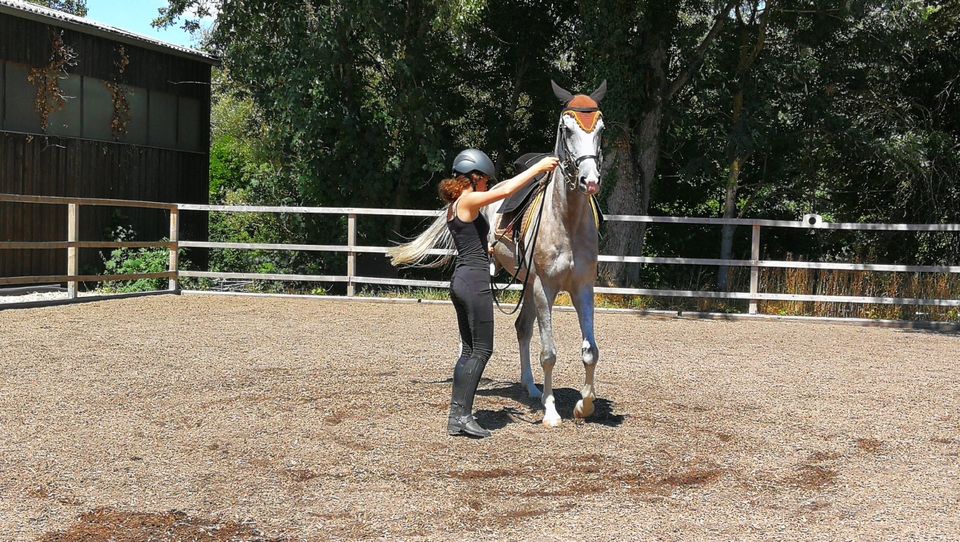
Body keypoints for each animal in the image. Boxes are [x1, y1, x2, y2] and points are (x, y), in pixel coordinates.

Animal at [488, 81, 608, 430]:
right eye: (566, 129)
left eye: (601, 129)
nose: (590, 180)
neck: (566, 221)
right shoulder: (545, 288)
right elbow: (549, 353)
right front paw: (552, 412)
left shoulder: (583, 289)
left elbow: (590, 352)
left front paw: (584, 407)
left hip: (527, 284)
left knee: (522, 329)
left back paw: (531, 388)